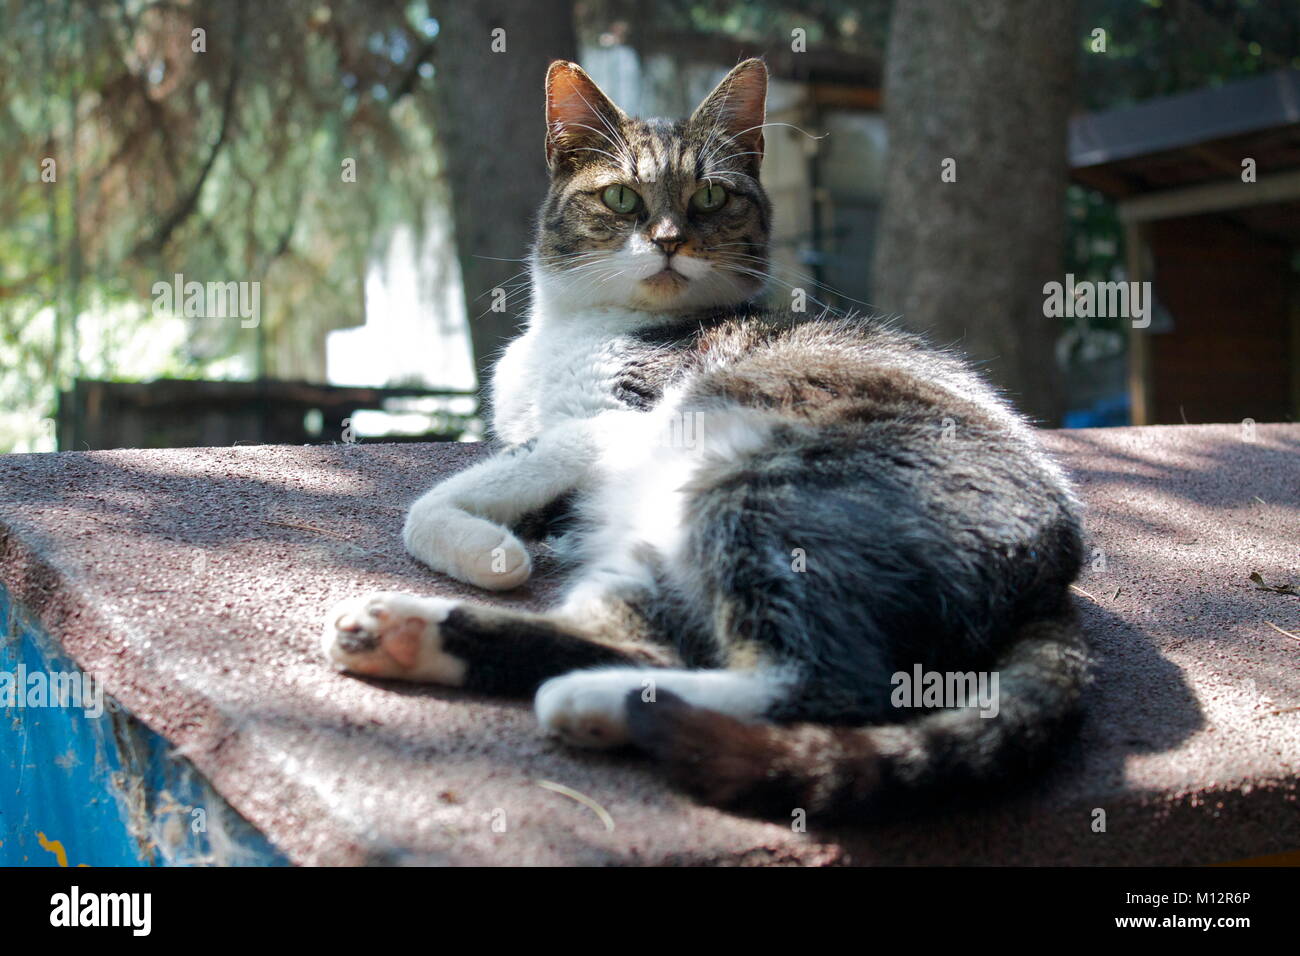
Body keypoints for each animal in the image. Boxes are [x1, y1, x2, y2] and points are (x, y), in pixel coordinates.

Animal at [322, 59, 1086, 816]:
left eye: (712, 196)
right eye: (623, 198)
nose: (668, 240)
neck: (577, 328)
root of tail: (1052, 575)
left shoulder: (626, 415)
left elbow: (461, 488)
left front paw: (491, 551)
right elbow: (514, 470)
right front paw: (499, 546)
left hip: (757, 484)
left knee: (827, 682)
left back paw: (599, 700)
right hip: (660, 539)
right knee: (641, 643)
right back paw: (410, 639)